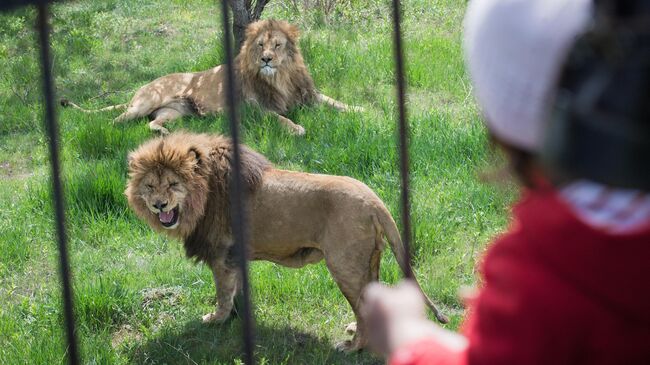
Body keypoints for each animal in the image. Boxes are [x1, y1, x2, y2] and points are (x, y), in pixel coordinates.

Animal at [59, 19, 360, 135]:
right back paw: (113, 129)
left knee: (152, 123)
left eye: (277, 45)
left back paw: (164, 134)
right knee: (116, 119)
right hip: (146, 102)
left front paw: (359, 110)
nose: (266, 59)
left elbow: (334, 101)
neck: (280, 78)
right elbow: (280, 118)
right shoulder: (254, 109)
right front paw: (297, 128)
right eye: (260, 45)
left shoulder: (308, 93)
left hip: (175, 112)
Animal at [123, 131, 446, 350]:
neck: (202, 196)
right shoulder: (235, 256)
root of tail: (374, 200)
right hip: (369, 262)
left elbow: (223, 293)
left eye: (173, 184)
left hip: (345, 266)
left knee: (362, 304)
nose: (159, 205)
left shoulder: (221, 254)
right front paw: (239, 318)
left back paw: (353, 346)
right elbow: (238, 290)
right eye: (149, 186)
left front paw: (216, 320)